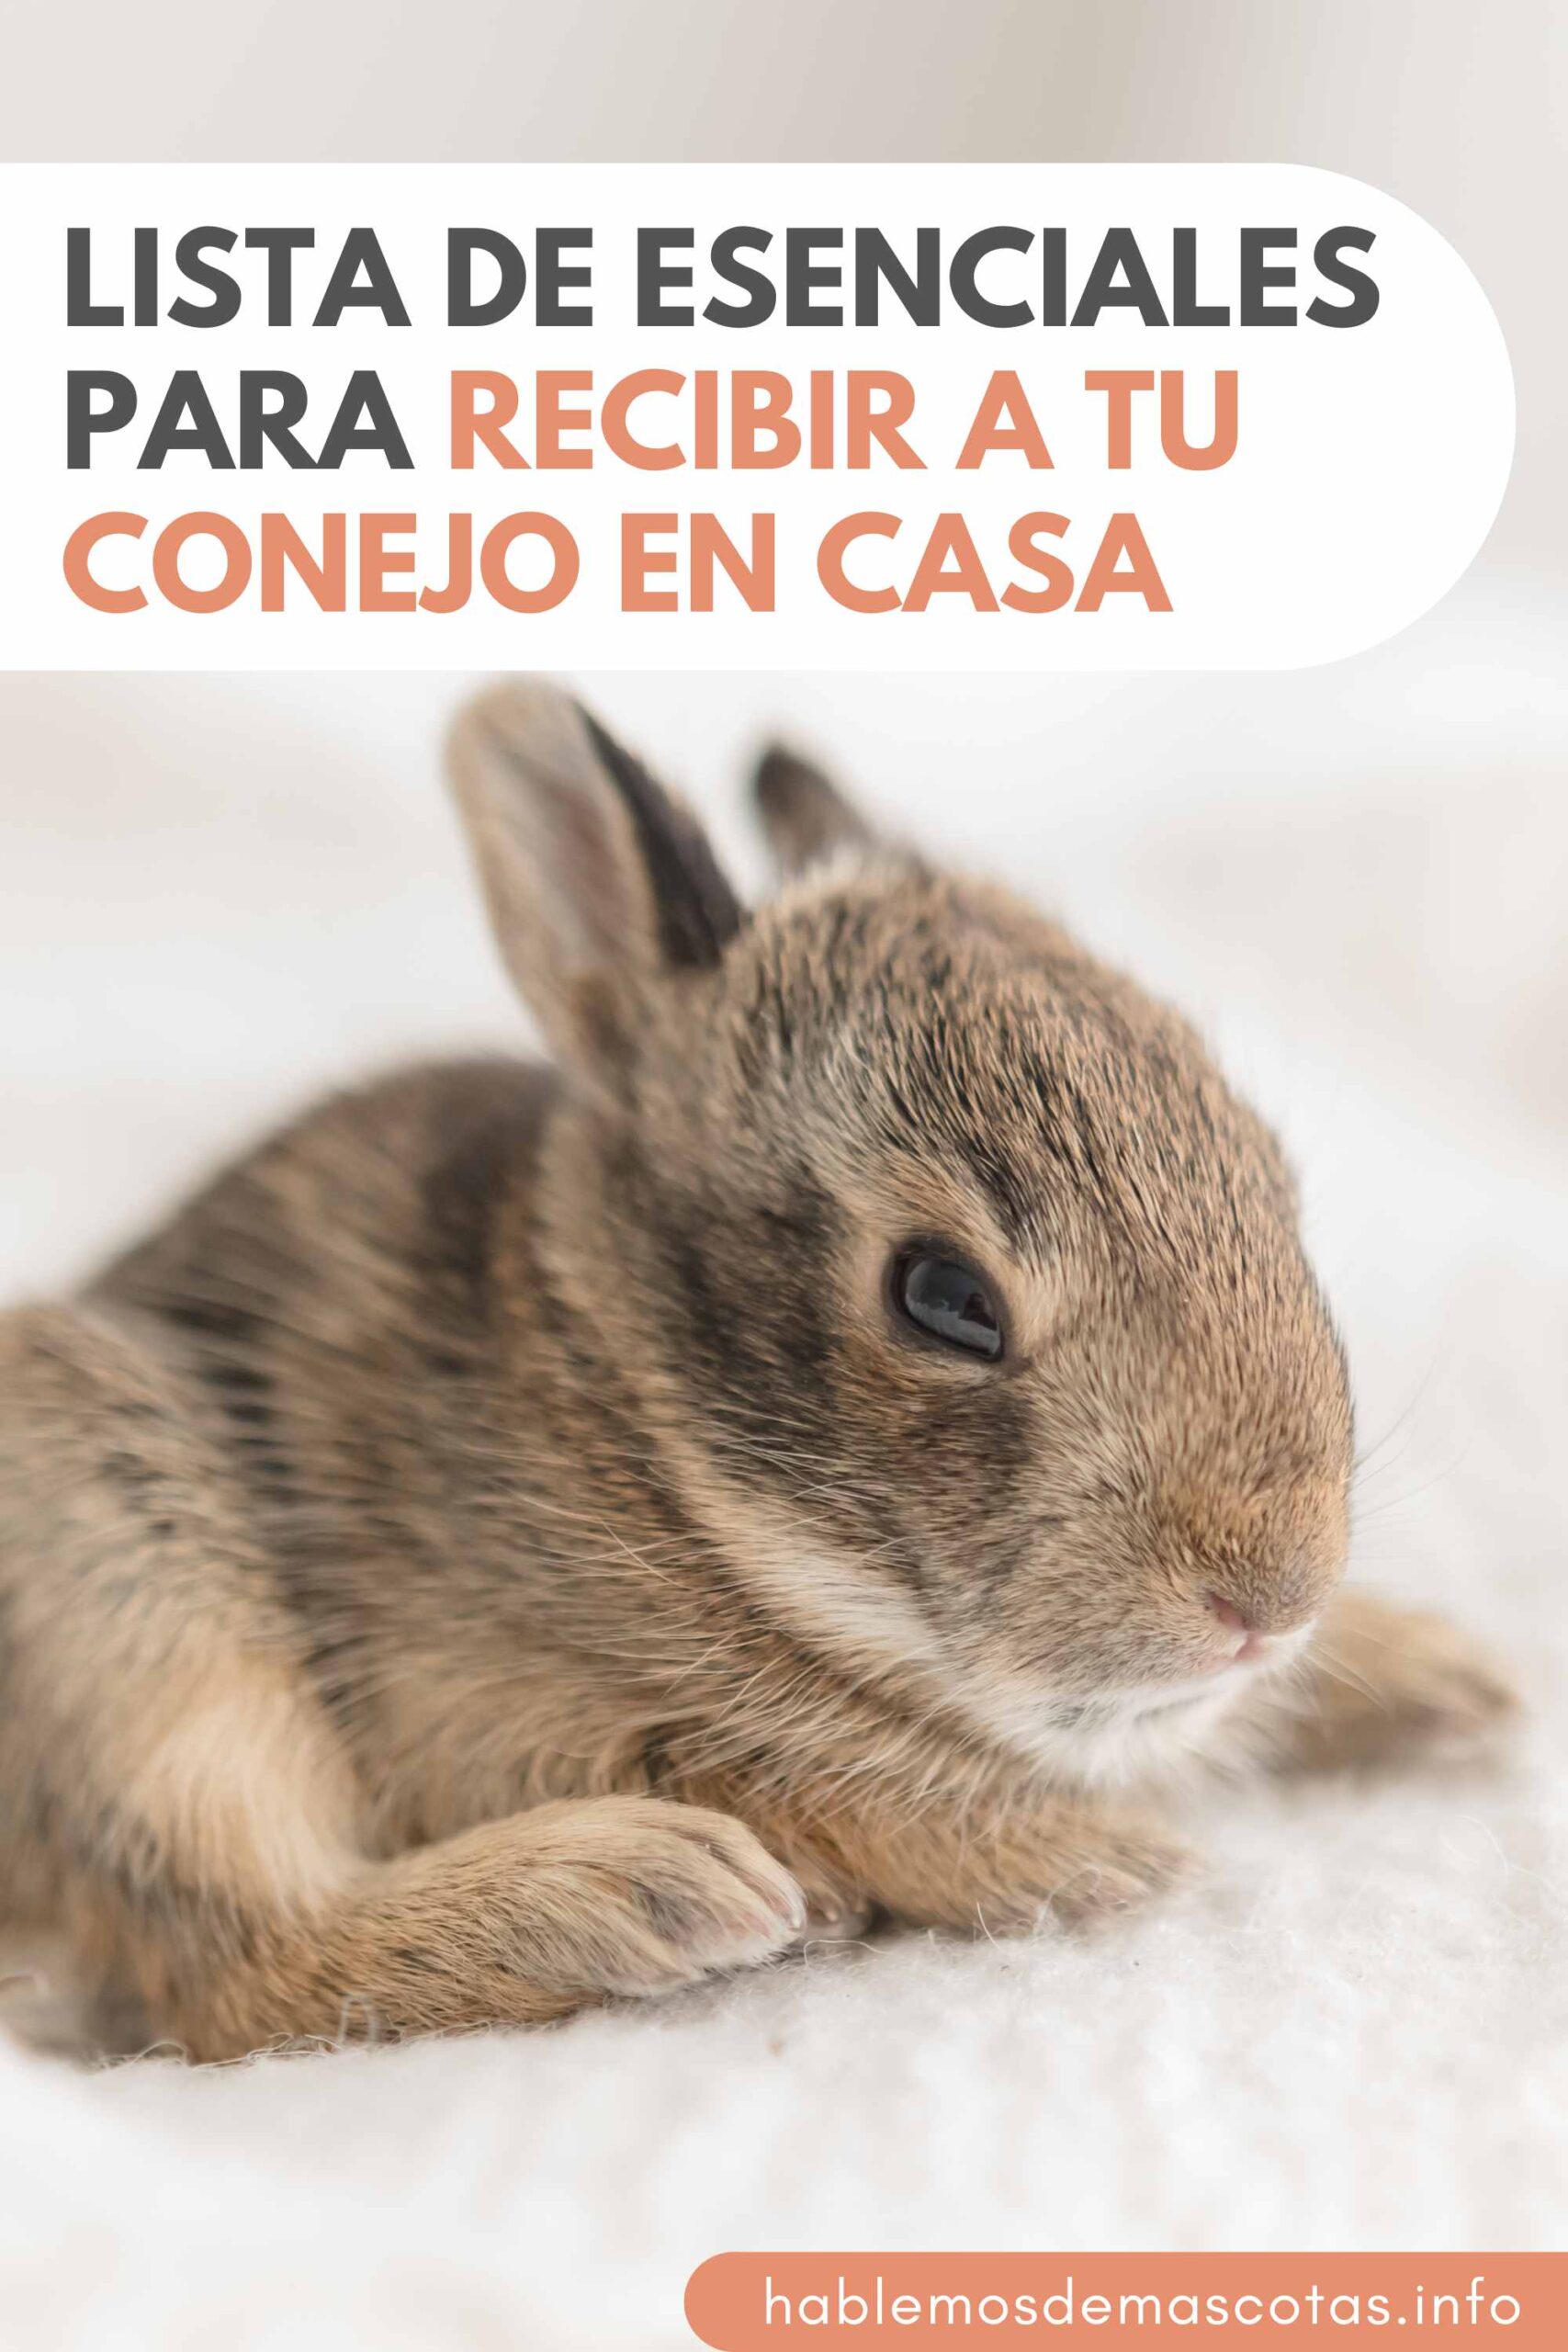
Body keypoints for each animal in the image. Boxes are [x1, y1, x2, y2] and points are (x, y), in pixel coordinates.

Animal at [0, 683, 1517, 2061]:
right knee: (233, 1964)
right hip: (107, 1531)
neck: (642, 1428)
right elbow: (808, 1785)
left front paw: (1441, 1675)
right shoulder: (484, 1708)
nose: (1267, 1599)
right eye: (943, 1299)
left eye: (1270, 1183)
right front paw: (1082, 1853)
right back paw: (638, 1891)